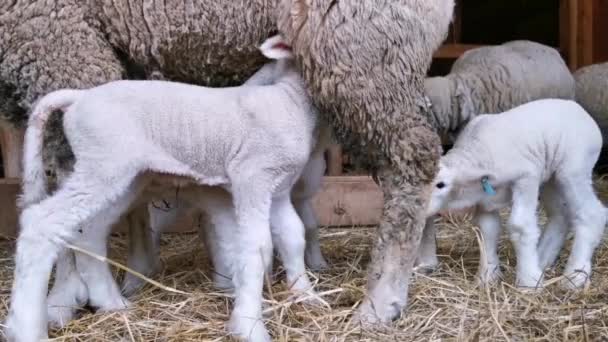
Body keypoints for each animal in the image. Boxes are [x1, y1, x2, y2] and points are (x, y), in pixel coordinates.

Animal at [7, 34, 320, 342]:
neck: (290, 101)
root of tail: (80, 97)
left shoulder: (278, 189)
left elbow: (293, 235)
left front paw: (306, 294)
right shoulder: (251, 177)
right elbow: (257, 246)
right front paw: (251, 327)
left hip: (121, 175)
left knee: (91, 232)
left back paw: (112, 303)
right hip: (103, 163)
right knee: (41, 223)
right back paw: (27, 329)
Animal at [426, 98, 604, 288]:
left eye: (440, 184)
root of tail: (579, 109)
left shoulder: (526, 178)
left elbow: (520, 226)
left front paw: (528, 281)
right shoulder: (485, 199)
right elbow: (487, 229)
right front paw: (487, 277)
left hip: (573, 169)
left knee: (591, 214)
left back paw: (574, 277)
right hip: (551, 178)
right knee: (560, 215)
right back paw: (542, 260)